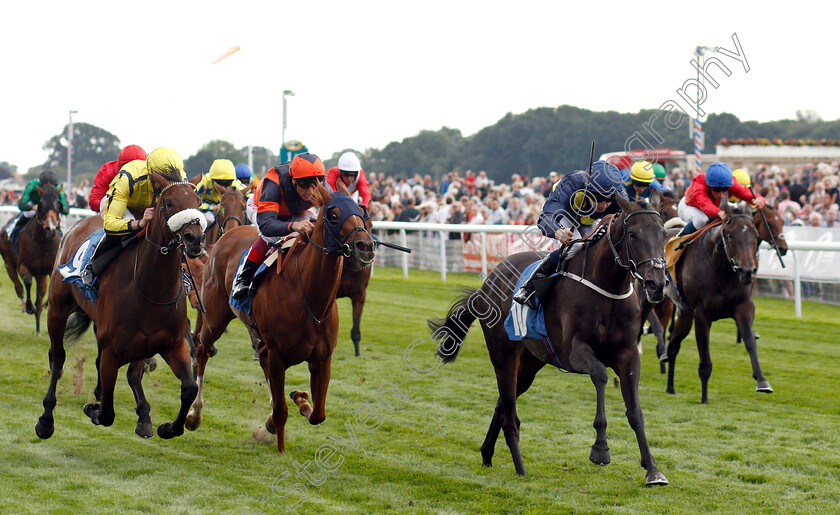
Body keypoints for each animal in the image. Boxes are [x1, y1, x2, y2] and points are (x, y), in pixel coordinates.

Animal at [0, 183, 63, 336]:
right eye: (41, 204)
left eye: (59, 204)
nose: (51, 229)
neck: (42, 242)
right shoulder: (23, 265)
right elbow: (28, 281)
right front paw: (29, 306)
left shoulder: (50, 269)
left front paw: (46, 304)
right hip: (8, 262)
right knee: (18, 286)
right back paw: (25, 305)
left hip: (40, 276)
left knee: (39, 296)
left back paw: (38, 330)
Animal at [35, 173, 207, 440]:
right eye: (168, 202)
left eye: (199, 202)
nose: (195, 238)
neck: (150, 289)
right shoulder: (111, 353)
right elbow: (107, 413)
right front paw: (93, 408)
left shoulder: (173, 344)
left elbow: (188, 388)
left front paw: (167, 427)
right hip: (57, 307)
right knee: (57, 357)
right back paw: (46, 419)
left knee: (132, 372)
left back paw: (144, 416)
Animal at [190, 187, 378, 454]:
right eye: (333, 214)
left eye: (361, 211)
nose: (366, 246)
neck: (310, 299)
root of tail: (229, 235)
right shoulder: (278, 356)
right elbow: (281, 411)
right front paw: (280, 449)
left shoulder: (322, 359)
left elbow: (318, 414)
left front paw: (300, 398)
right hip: (215, 316)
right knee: (202, 348)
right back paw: (194, 415)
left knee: (259, 355)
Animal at [426, 196, 668, 486]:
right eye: (633, 234)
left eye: (664, 234)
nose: (656, 284)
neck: (608, 289)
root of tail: (485, 286)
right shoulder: (575, 352)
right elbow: (600, 375)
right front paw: (600, 449)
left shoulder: (628, 355)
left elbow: (635, 411)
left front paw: (652, 469)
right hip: (503, 356)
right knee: (510, 415)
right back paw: (520, 468)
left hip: (530, 364)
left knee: (502, 403)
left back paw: (487, 453)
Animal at [664, 204, 776, 406]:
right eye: (730, 235)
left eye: (755, 235)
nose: (747, 271)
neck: (721, 270)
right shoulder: (701, 314)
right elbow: (705, 357)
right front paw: (704, 398)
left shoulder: (744, 307)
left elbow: (750, 341)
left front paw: (762, 381)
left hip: (685, 313)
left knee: (674, 345)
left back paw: (670, 387)